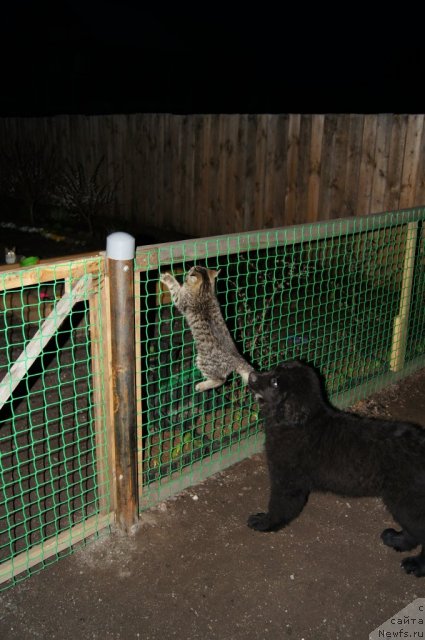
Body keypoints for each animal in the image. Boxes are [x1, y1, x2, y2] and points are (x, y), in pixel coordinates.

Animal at [247, 360, 424, 576]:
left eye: (274, 383)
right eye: (275, 369)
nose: (252, 375)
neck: (301, 423)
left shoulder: (287, 482)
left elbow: (279, 508)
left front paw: (264, 523)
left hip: (406, 501)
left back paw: (417, 564)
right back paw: (397, 540)